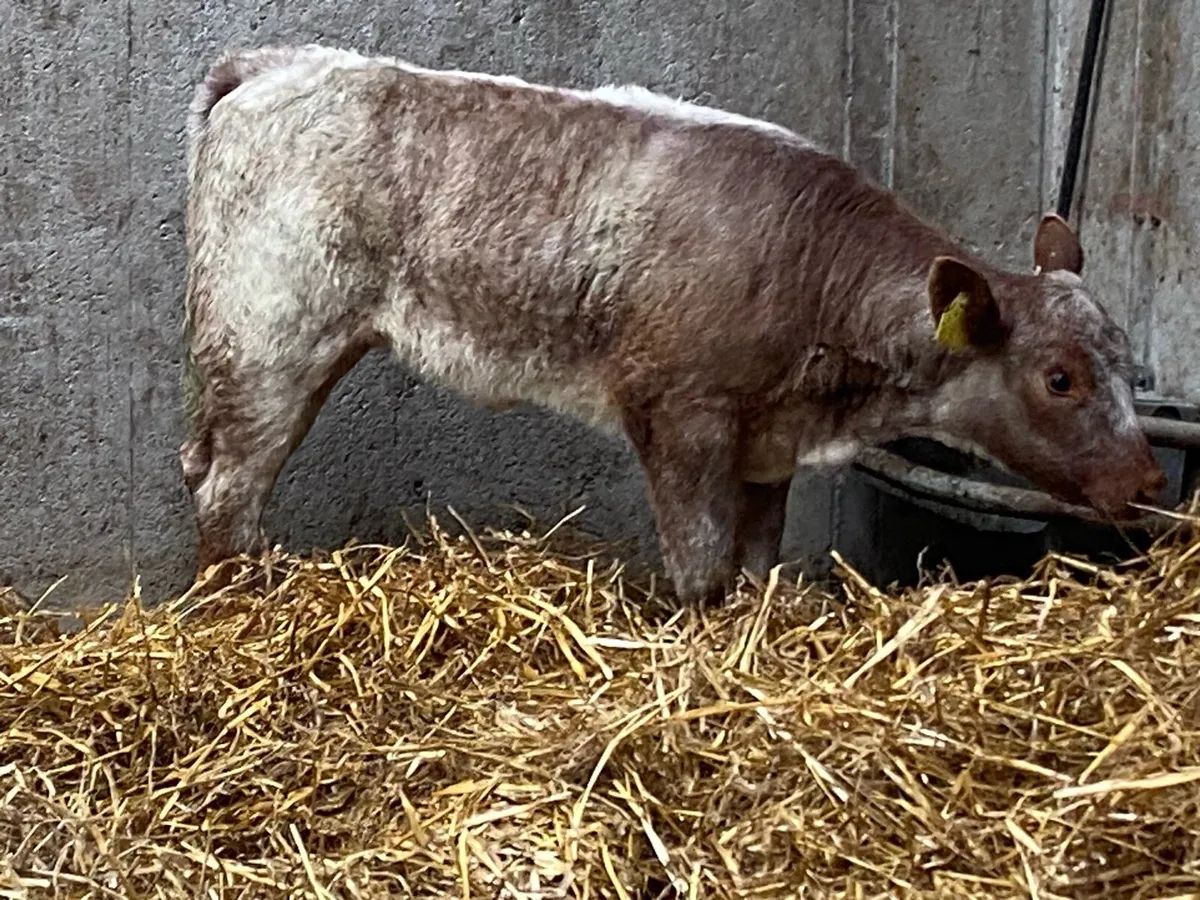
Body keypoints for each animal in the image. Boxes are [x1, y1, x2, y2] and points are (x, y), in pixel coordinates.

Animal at [179, 43, 1165, 606]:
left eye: (1127, 364)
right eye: (1059, 377)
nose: (1149, 480)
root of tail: (276, 64)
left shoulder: (771, 439)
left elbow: (759, 561)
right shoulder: (677, 410)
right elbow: (700, 567)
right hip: (272, 336)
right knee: (229, 488)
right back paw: (242, 609)